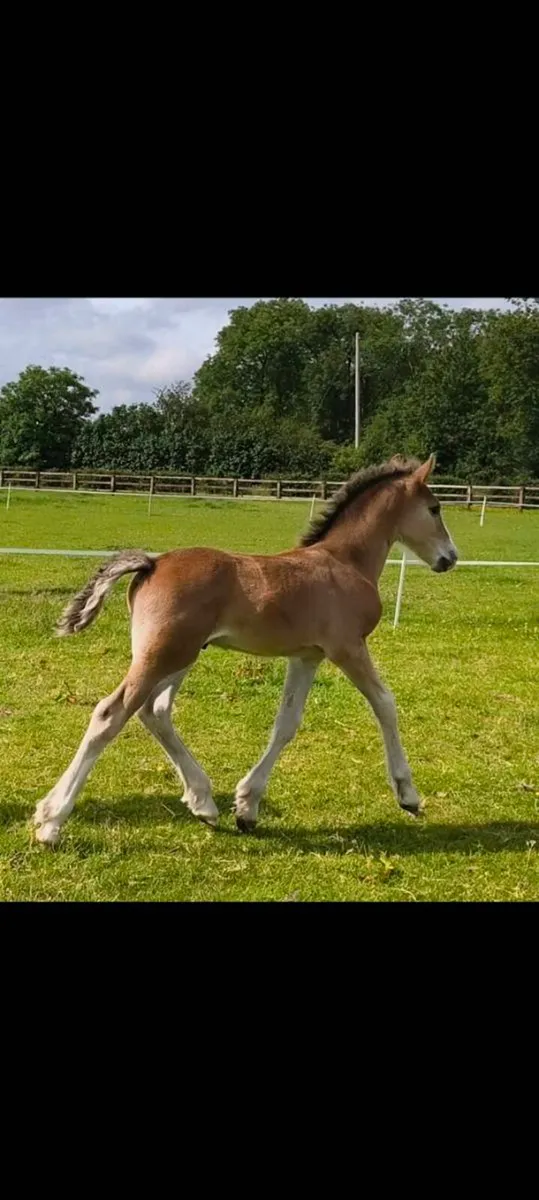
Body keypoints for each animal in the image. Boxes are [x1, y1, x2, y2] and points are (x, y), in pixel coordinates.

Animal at [33, 454, 457, 845]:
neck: (345, 563)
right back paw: (52, 821)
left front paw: (247, 807)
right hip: (163, 656)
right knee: (112, 713)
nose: (450, 558)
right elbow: (385, 703)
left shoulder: (307, 656)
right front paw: (408, 795)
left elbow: (287, 723)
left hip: (180, 656)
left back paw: (203, 803)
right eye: (435, 508)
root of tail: (151, 563)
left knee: (155, 711)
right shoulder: (347, 648)